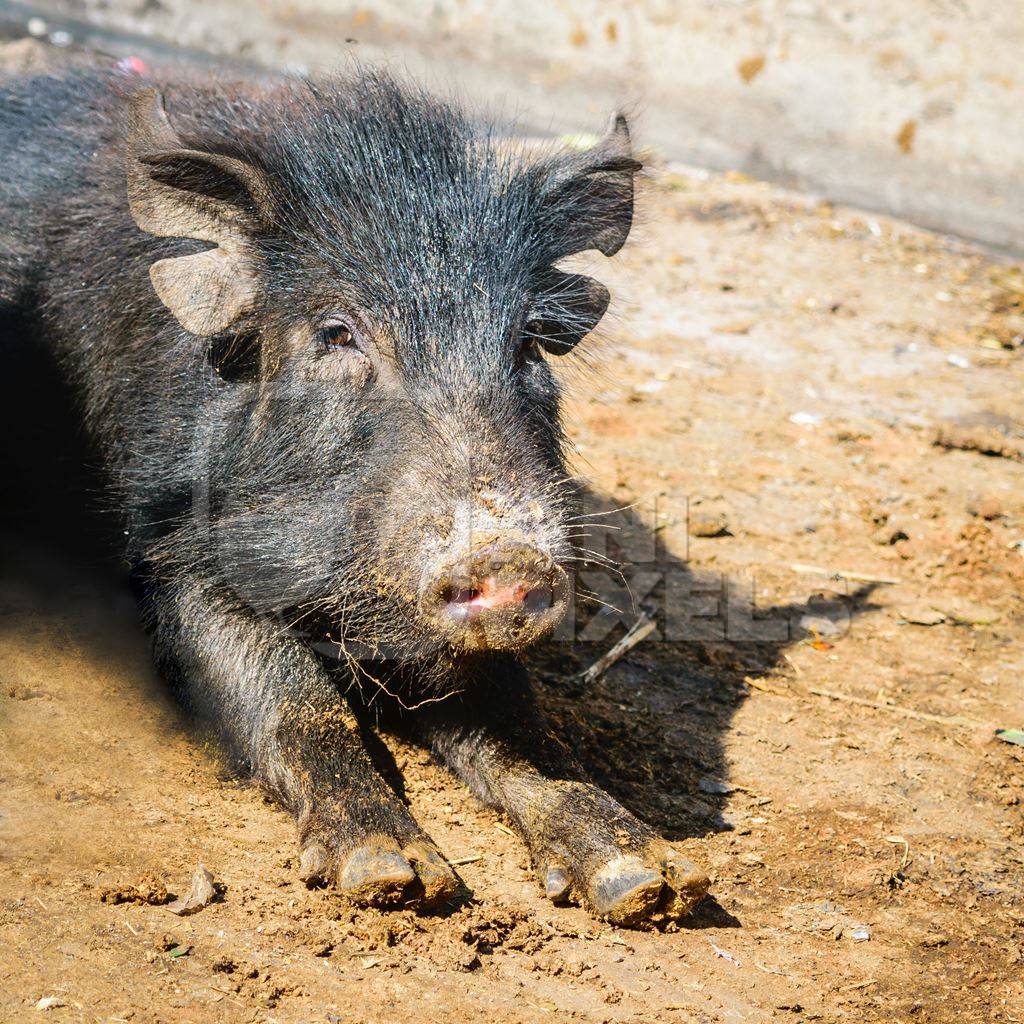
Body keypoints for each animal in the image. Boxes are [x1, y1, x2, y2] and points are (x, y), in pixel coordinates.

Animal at [0, 66, 708, 929]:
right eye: (337, 333)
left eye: (528, 343)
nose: (505, 557)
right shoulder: (175, 559)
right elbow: (297, 699)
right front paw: (393, 877)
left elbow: (517, 723)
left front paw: (648, 882)